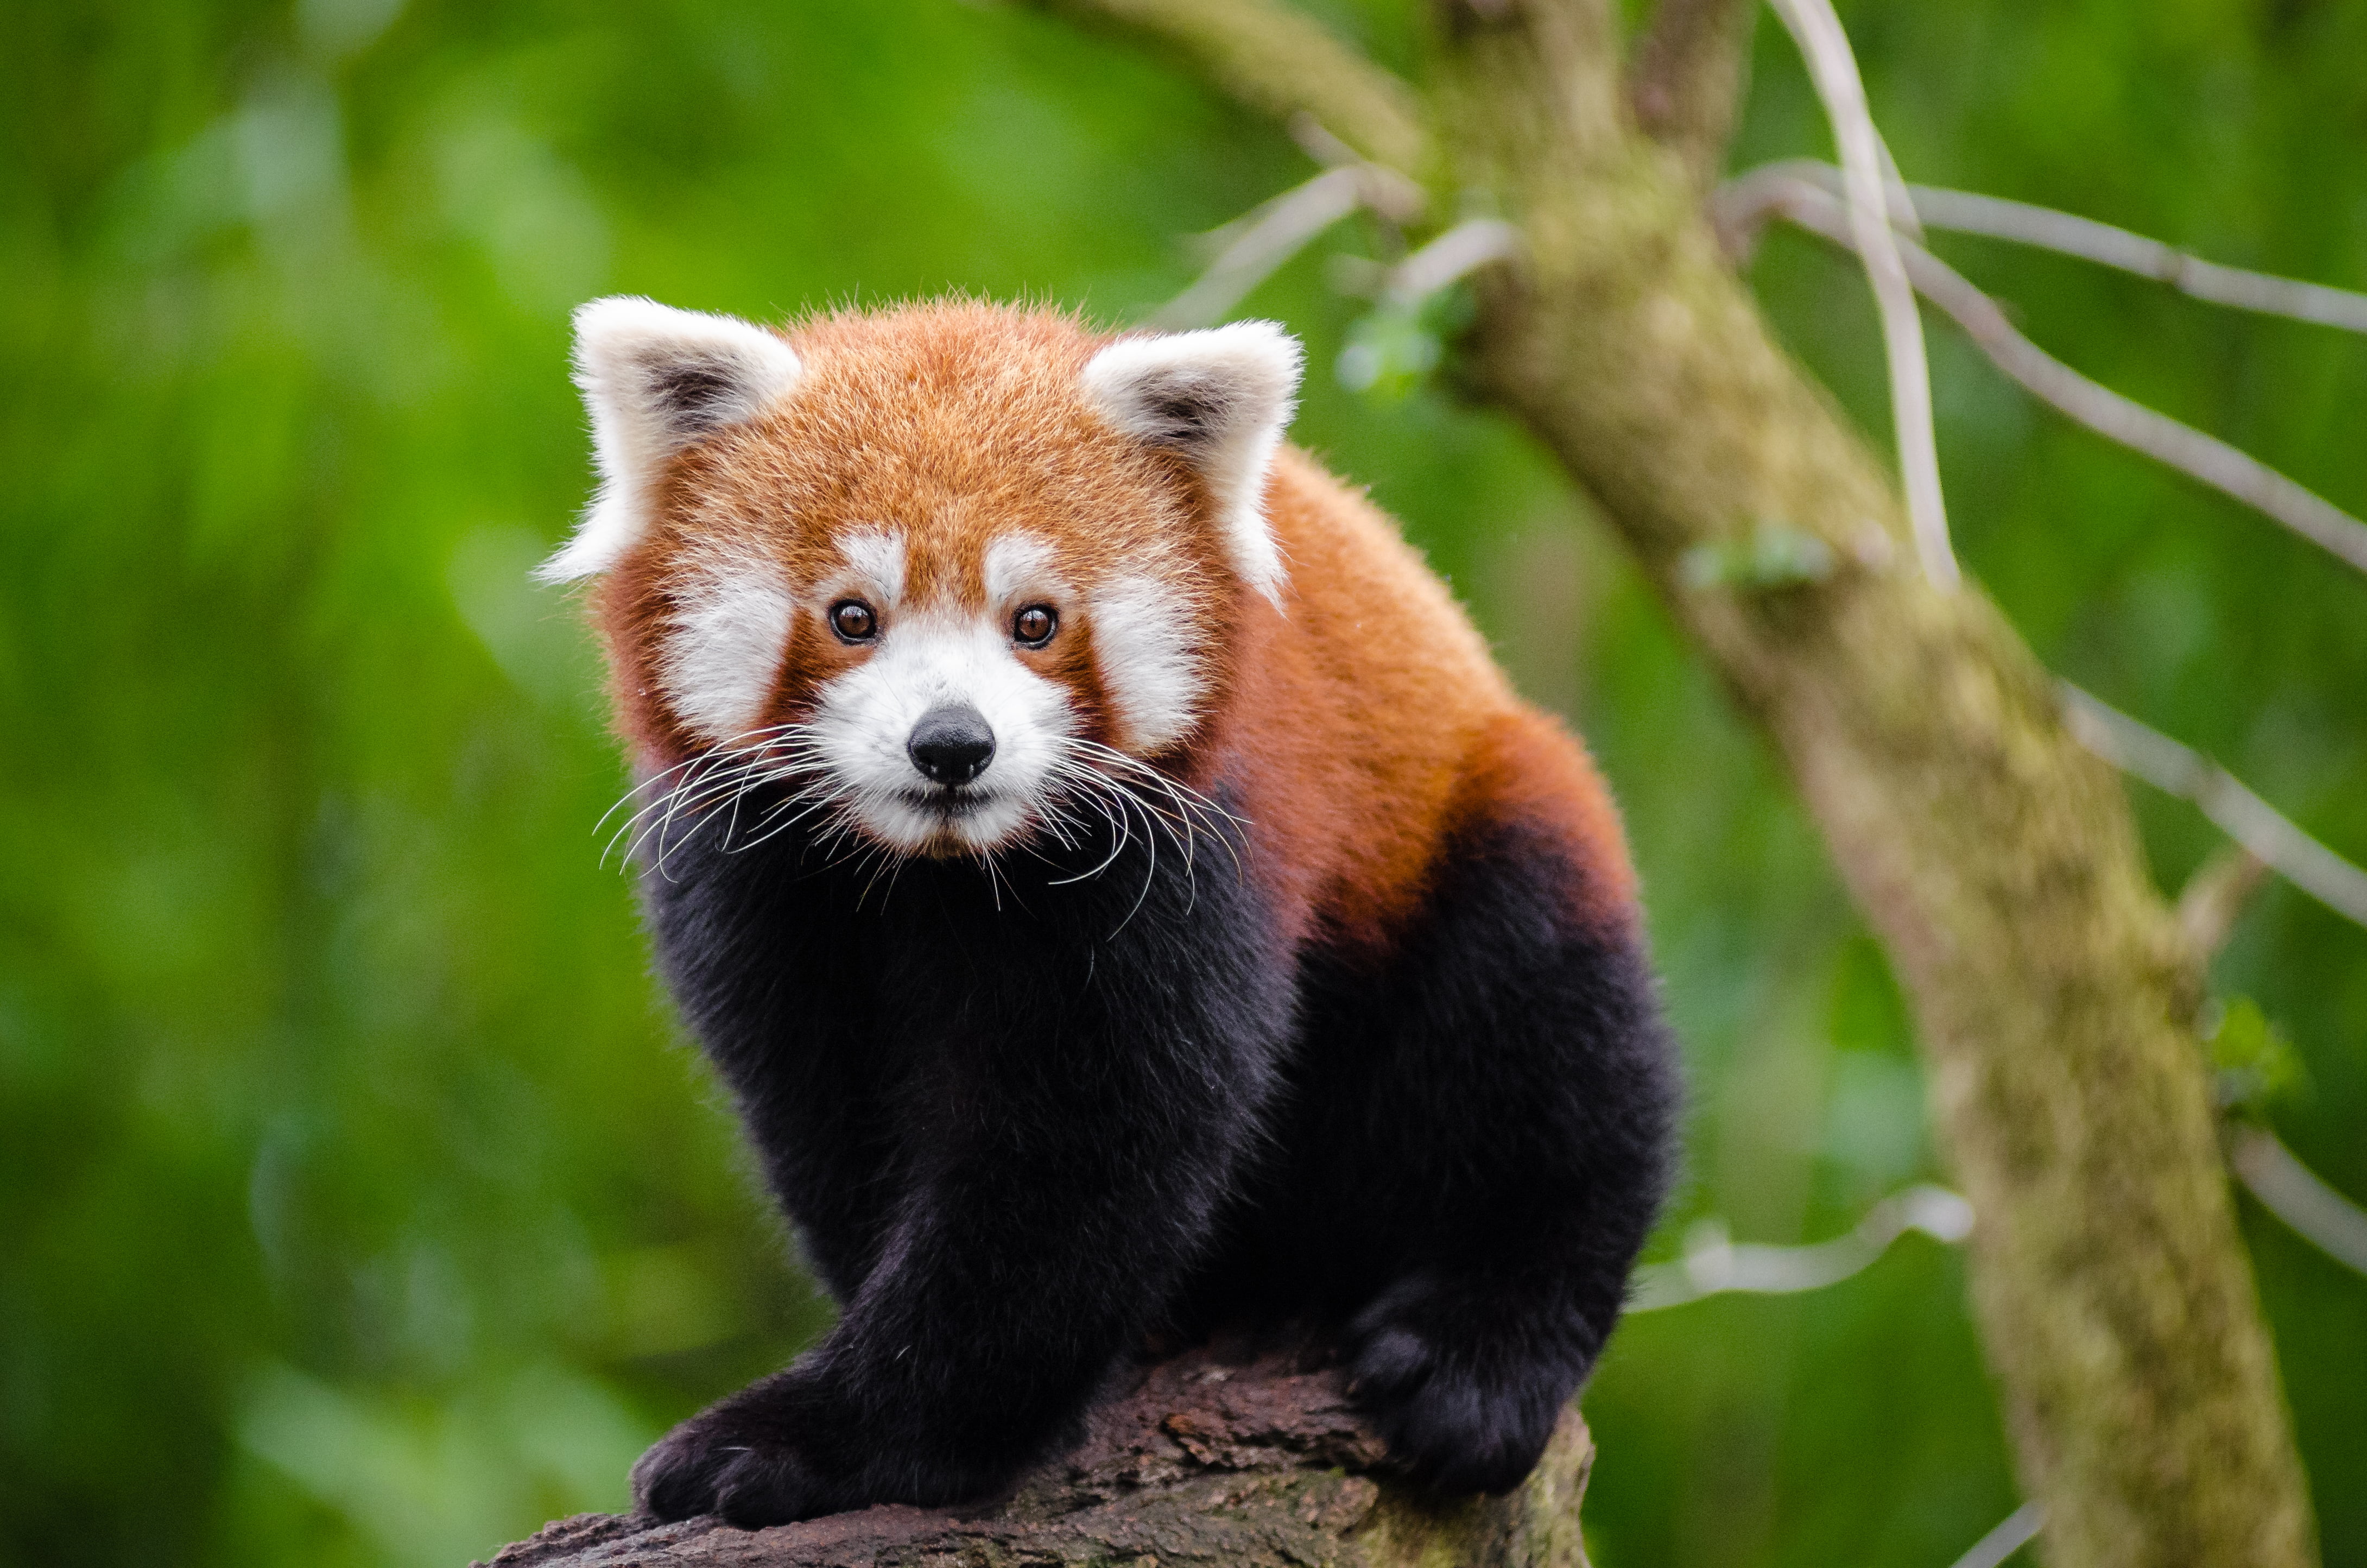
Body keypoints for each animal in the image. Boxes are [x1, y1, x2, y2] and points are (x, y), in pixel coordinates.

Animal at [543, 295, 1678, 1526]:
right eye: (852, 617)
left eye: (1035, 622)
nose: (953, 744)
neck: (939, 877)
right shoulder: (757, 890)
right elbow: (831, 1121)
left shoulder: (1181, 856)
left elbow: (1079, 1162)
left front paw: (826, 1438)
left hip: (1481, 819)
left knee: (1552, 1046)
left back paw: (1480, 1352)